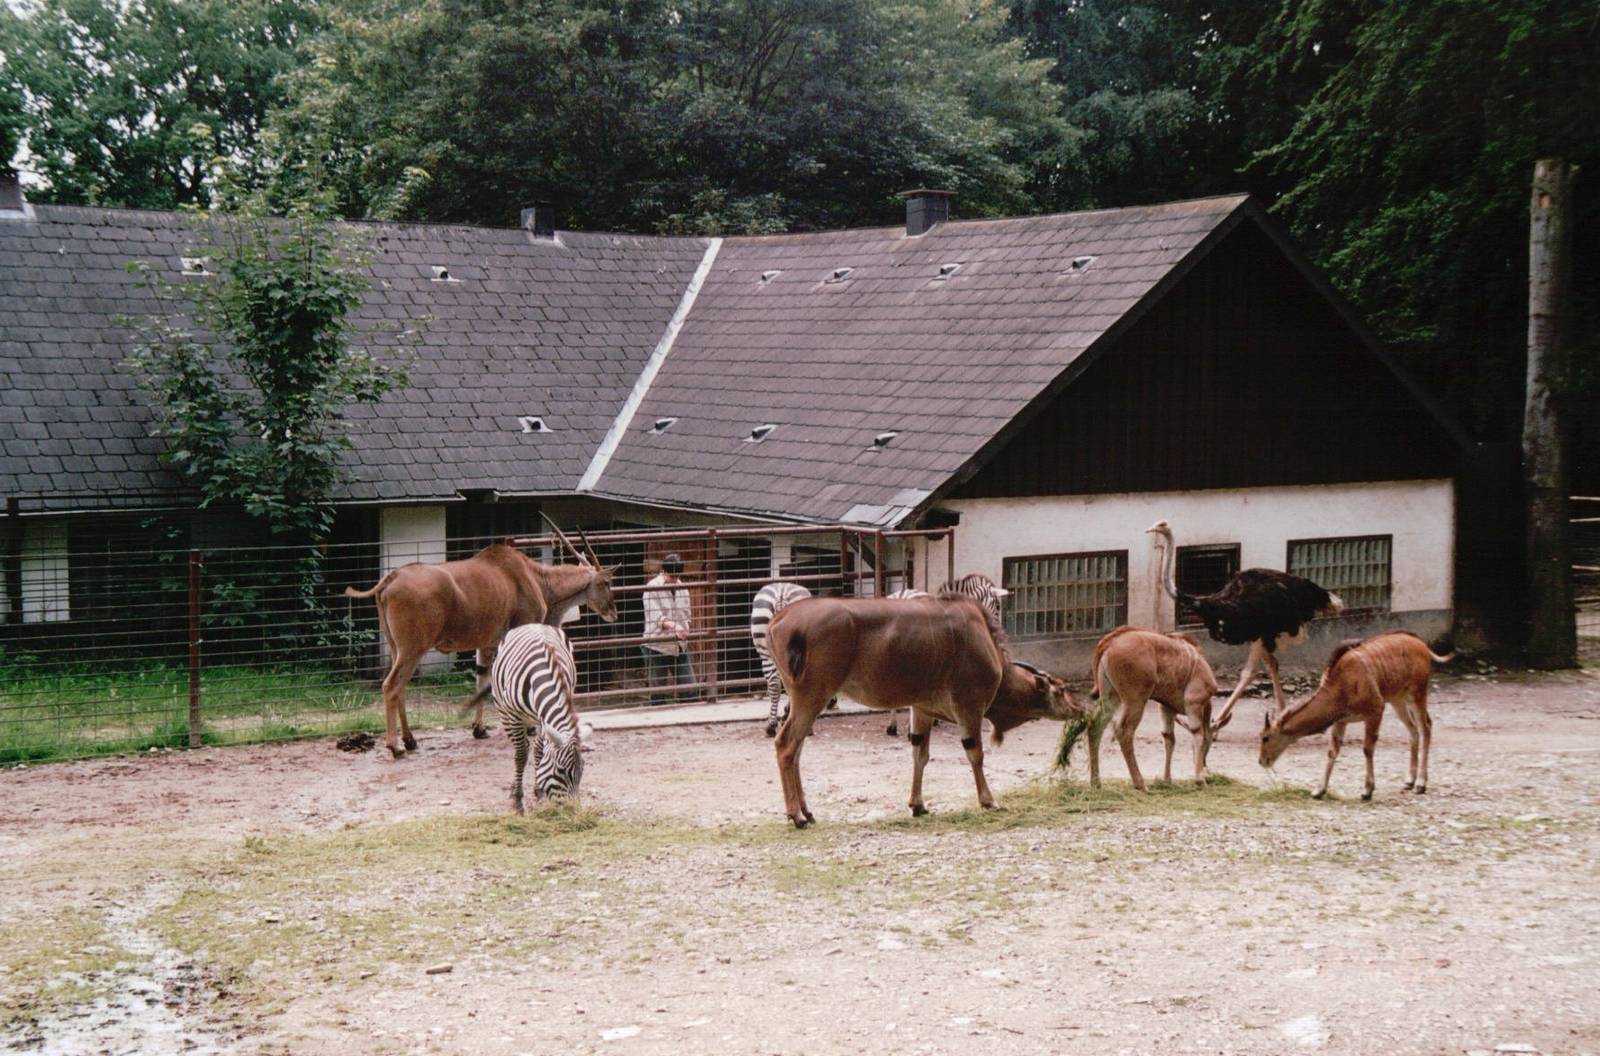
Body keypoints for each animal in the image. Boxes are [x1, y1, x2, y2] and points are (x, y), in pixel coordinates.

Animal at [489, 623, 586, 812]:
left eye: (582, 771)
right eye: (561, 770)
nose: (573, 810)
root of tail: (533, 624)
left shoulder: (543, 720)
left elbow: (539, 753)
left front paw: (539, 793)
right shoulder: (514, 716)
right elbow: (520, 756)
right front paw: (518, 801)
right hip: (504, 712)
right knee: (521, 748)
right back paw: (514, 788)